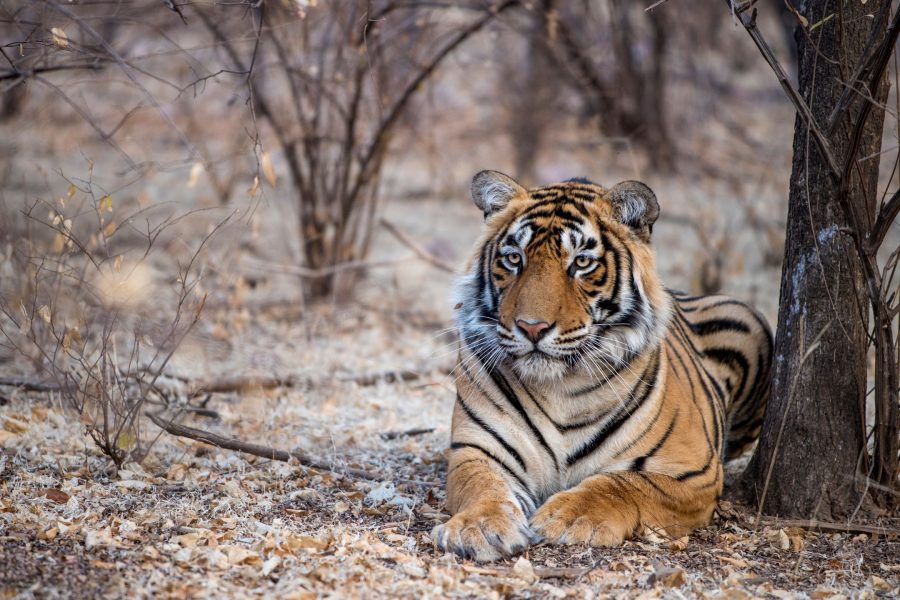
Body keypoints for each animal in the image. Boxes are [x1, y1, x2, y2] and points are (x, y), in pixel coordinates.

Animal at [432, 171, 773, 561]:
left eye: (582, 263)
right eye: (514, 258)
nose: (532, 327)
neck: (559, 387)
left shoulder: (692, 469)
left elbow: (623, 482)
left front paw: (567, 517)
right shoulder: (477, 451)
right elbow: (483, 487)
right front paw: (479, 527)